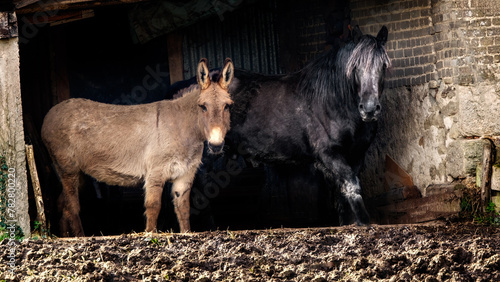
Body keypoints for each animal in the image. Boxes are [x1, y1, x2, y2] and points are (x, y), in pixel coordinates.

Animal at [42, 57, 235, 236]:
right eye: (203, 106)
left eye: (227, 106)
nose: (216, 145)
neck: (183, 128)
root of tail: (49, 115)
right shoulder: (155, 172)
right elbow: (153, 206)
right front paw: (150, 234)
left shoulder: (185, 175)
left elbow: (184, 209)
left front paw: (186, 233)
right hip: (68, 168)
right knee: (71, 206)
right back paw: (80, 237)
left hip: (78, 173)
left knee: (62, 204)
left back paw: (64, 237)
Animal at [172, 25, 390, 226]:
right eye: (355, 67)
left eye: (384, 66)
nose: (369, 109)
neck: (333, 100)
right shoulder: (329, 154)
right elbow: (351, 186)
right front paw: (364, 223)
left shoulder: (356, 156)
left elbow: (342, 193)